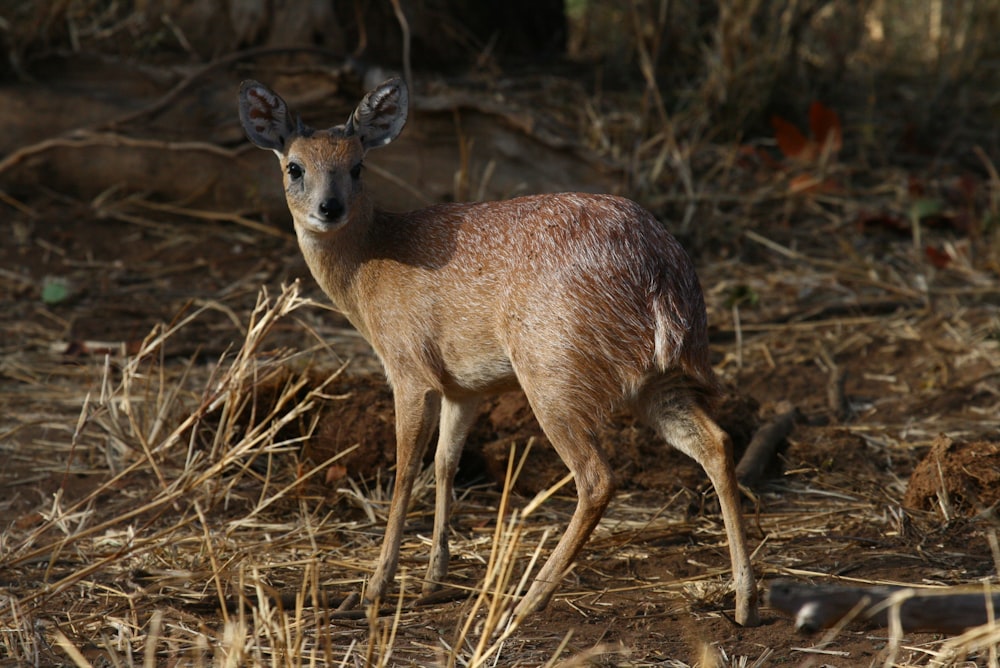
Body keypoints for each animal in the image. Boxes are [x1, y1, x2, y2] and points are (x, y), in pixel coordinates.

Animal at [240, 77, 756, 628]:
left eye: (358, 165)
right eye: (294, 166)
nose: (330, 208)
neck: (370, 267)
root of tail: (661, 275)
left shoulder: (409, 369)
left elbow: (405, 471)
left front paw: (375, 589)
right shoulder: (464, 387)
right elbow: (445, 463)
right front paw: (432, 579)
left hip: (553, 374)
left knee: (597, 478)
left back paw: (524, 603)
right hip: (661, 380)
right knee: (717, 443)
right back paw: (745, 599)